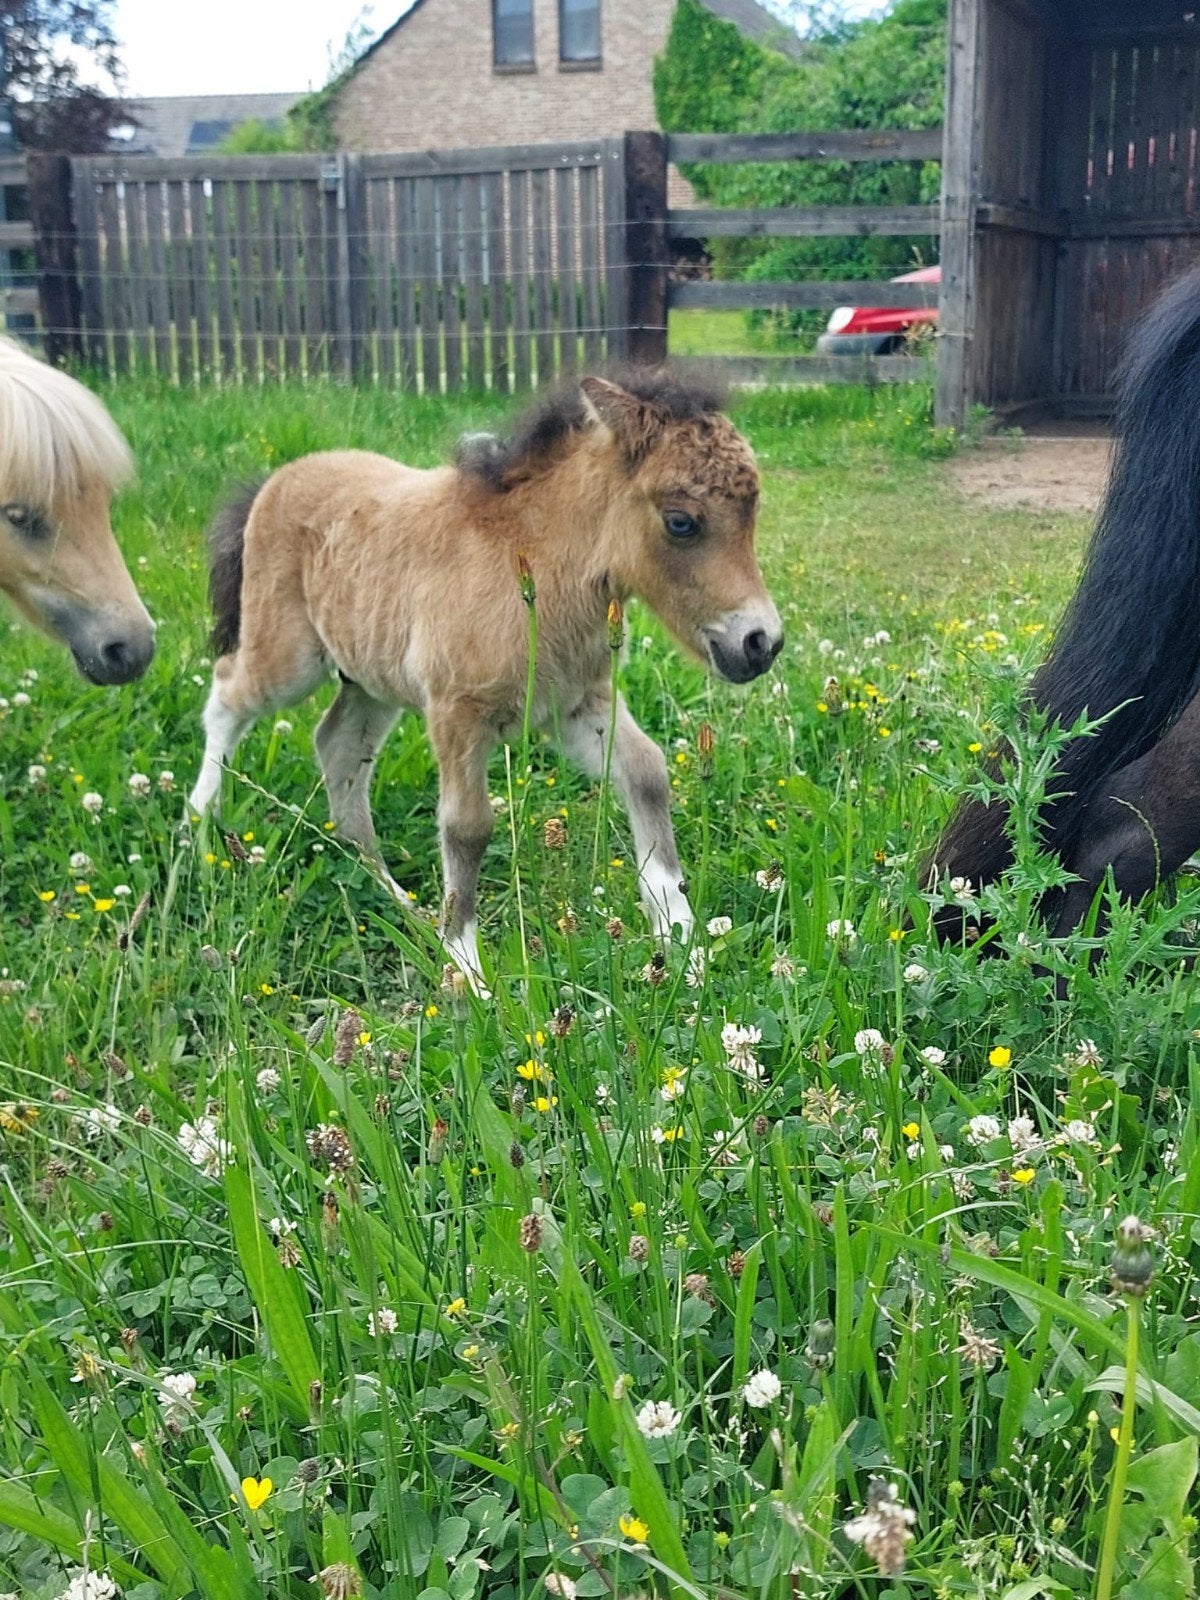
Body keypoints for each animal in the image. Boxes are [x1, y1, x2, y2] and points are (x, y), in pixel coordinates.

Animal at [188, 369, 783, 986]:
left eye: (752, 515)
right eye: (680, 522)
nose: (760, 644)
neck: (531, 562)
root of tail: (274, 480)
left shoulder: (577, 704)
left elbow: (646, 772)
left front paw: (682, 937)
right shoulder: (459, 714)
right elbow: (467, 828)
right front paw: (467, 968)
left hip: (370, 677)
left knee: (338, 747)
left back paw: (398, 899)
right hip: (290, 659)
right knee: (229, 692)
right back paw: (201, 817)